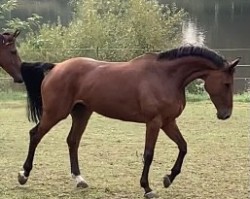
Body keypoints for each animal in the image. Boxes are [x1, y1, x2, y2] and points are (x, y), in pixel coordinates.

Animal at [18, 45, 239, 198]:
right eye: (227, 84)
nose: (225, 114)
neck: (166, 76)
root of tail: (55, 67)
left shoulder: (168, 122)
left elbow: (183, 147)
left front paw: (168, 178)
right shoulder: (154, 122)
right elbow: (148, 154)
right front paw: (147, 188)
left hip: (81, 113)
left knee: (72, 141)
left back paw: (79, 179)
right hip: (56, 113)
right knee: (35, 135)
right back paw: (24, 174)